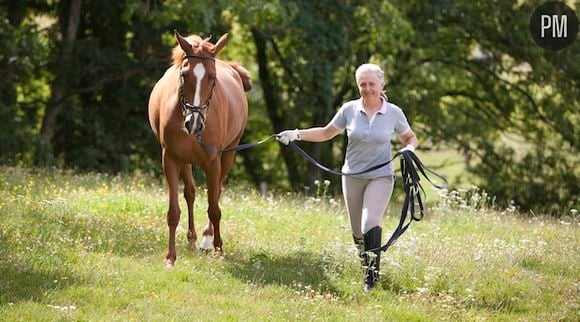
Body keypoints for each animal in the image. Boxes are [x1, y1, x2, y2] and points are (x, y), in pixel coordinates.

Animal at [148, 30, 250, 266]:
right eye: (185, 75)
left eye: (212, 78)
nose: (193, 123)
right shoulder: (170, 159)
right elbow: (173, 211)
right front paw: (170, 257)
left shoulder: (213, 163)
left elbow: (214, 208)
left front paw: (218, 247)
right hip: (185, 160)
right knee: (190, 193)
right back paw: (192, 238)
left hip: (229, 154)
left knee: (216, 194)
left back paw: (205, 239)